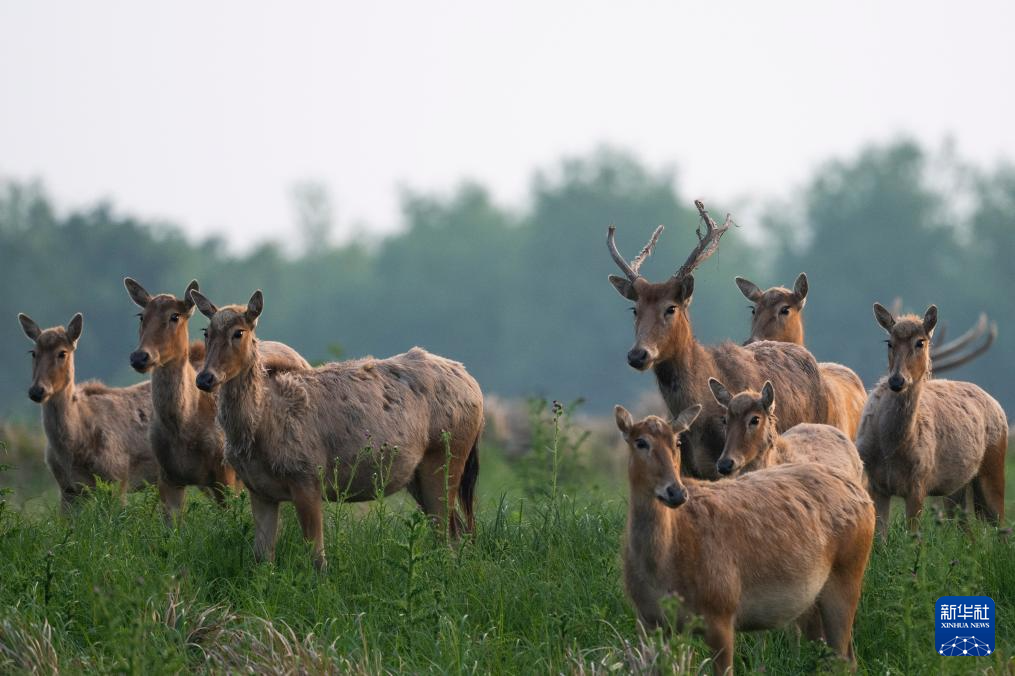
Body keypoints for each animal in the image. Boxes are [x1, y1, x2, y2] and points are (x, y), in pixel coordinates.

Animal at [123, 278, 310, 523]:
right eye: (141, 315)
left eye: (175, 316)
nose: (139, 357)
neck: (182, 426)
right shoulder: (166, 476)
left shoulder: (225, 474)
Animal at [189, 288, 484, 570]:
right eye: (206, 332)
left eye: (239, 332)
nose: (204, 378)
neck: (260, 430)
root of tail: (475, 387)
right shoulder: (259, 490)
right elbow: (262, 559)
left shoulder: (307, 474)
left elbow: (317, 558)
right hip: (418, 475)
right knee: (456, 530)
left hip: (447, 454)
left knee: (448, 532)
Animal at [615, 404, 874, 675]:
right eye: (640, 442)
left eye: (677, 441)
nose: (676, 492)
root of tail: (865, 496)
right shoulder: (647, 620)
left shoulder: (721, 609)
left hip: (849, 571)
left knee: (845, 657)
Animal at [856, 304, 1007, 536]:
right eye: (889, 342)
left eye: (920, 342)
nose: (897, 380)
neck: (890, 449)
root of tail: (998, 405)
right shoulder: (874, 483)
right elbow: (879, 539)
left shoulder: (920, 480)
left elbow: (913, 537)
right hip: (957, 488)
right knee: (967, 531)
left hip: (994, 464)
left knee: (1003, 527)